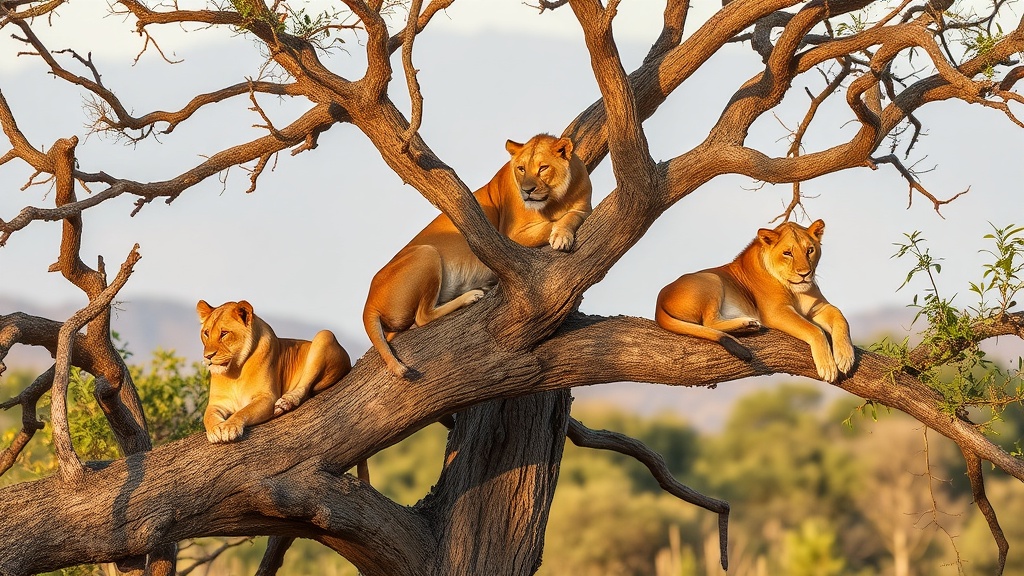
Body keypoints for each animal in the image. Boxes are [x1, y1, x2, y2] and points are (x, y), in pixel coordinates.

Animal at [363, 133, 593, 378]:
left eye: (543, 168)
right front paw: (560, 232)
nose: (527, 190)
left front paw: (563, 232)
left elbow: (573, 214)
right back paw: (472, 296)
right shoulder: (512, 234)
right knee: (422, 316)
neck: (558, 197)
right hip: (427, 252)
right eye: (521, 169)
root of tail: (368, 304)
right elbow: (565, 218)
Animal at [655, 219, 855, 382]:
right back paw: (747, 324)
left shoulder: (818, 308)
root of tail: (659, 301)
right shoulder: (776, 312)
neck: (796, 291)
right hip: (712, 278)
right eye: (788, 253)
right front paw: (828, 366)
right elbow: (814, 330)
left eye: (810, 250)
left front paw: (845, 357)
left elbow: (841, 317)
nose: (804, 274)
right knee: (709, 322)